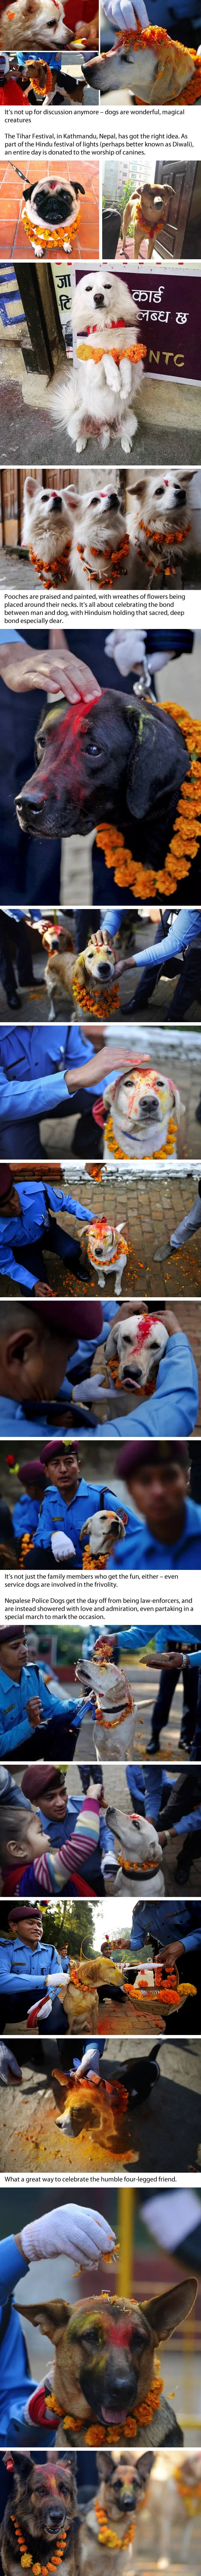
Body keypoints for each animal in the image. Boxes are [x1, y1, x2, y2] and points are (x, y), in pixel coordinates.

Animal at [50, 269, 144, 461]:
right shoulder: (94, 374)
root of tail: (105, 427)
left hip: (132, 422)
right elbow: (105, 355)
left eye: (108, 286)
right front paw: (115, 381)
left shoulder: (138, 366)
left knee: (125, 435)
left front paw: (125, 387)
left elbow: (125, 359)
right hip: (75, 424)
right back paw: (80, 445)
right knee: (81, 436)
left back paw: (126, 445)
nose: (98, 297)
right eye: (89, 289)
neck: (106, 323)